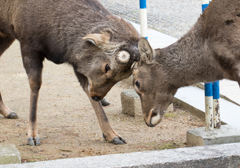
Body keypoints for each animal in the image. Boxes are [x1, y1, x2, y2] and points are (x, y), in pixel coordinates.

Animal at [0, 0, 140, 145]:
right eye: (107, 67)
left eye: (124, 76)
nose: (97, 96)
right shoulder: (28, 43)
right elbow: (35, 85)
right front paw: (32, 135)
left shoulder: (79, 65)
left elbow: (86, 89)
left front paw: (112, 135)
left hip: (6, 35)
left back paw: (7, 111)